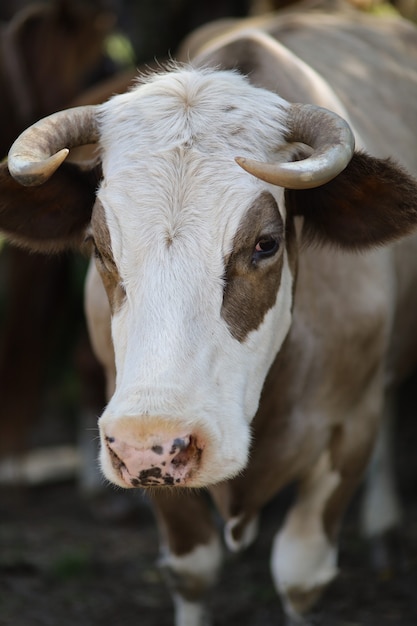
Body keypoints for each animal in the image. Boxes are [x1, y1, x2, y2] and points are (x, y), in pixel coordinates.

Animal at [0, 6, 416, 624]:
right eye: (99, 246)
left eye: (266, 244)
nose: (149, 441)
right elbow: (192, 572)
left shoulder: (350, 428)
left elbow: (300, 577)